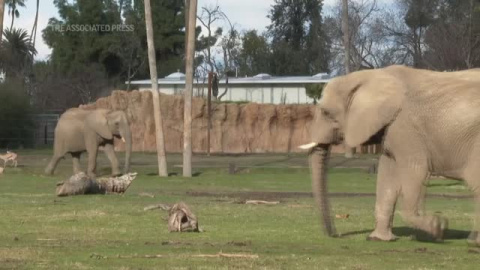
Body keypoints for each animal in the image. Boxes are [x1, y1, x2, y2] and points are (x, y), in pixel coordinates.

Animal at [300, 64, 480, 246]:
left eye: (326, 112)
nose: (336, 234)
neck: (372, 75)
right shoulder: (390, 129)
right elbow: (387, 175)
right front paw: (378, 239)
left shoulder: (405, 127)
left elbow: (416, 170)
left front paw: (438, 227)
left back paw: (473, 242)